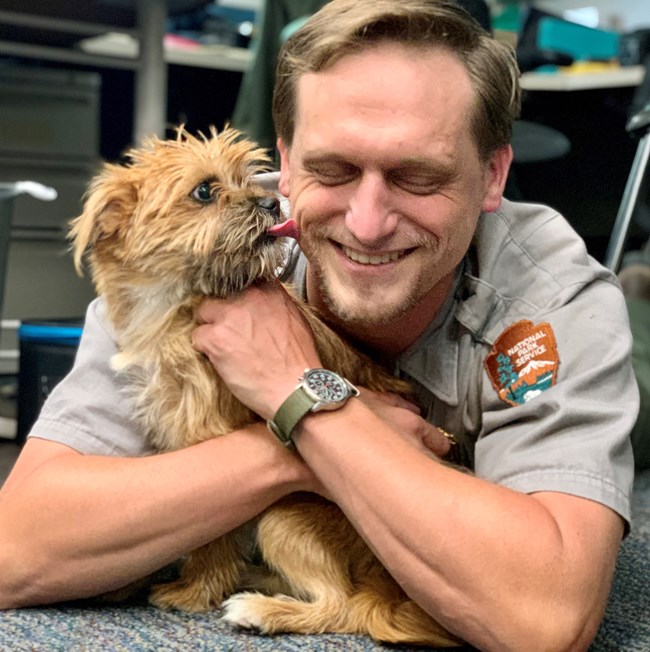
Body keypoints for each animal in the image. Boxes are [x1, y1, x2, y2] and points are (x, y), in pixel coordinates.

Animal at [68, 123, 458, 648]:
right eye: (205, 191)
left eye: (244, 179)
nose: (272, 203)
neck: (179, 303)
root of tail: (386, 582)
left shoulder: (209, 442)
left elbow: (210, 534)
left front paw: (194, 590)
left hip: (282, 517)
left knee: (340, 605)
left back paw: (262, 609)